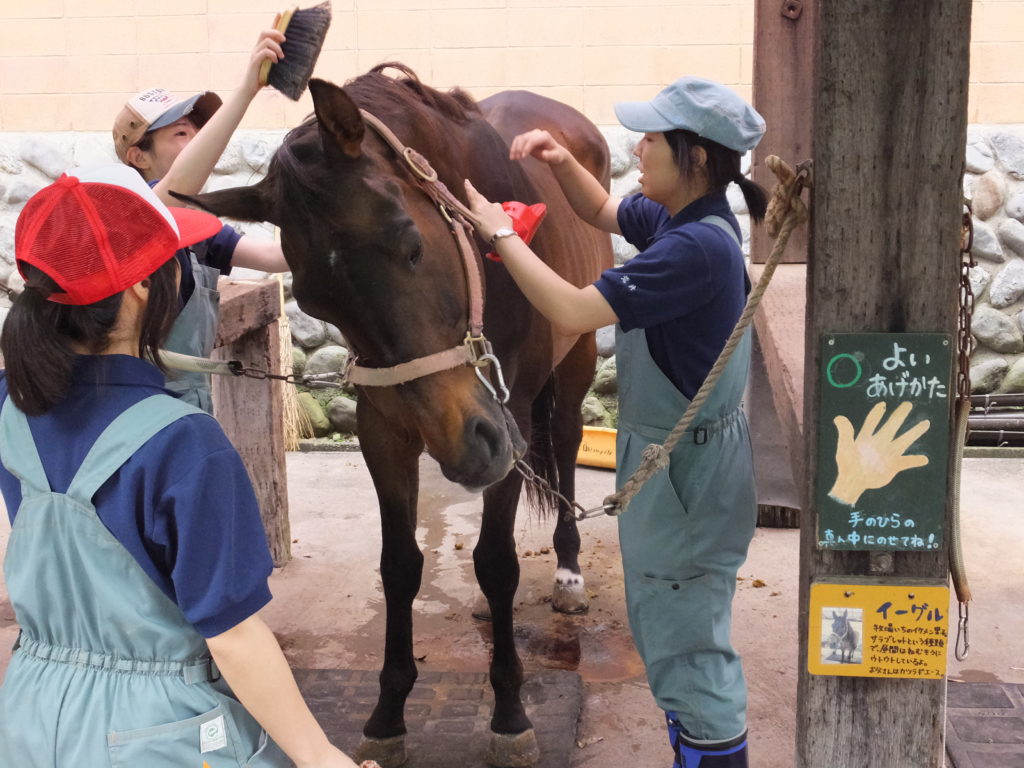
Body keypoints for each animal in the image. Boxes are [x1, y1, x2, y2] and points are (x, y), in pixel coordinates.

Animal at [180, 67, 610, 768]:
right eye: (315, 300)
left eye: (410, 245)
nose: (470, 445)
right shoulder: (385, 430)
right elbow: (400, 566)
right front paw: (387, 714)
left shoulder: (510, 416)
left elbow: (497, 562)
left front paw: (509, 713)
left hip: (573, 364)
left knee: (568, 446)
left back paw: (569, 574)